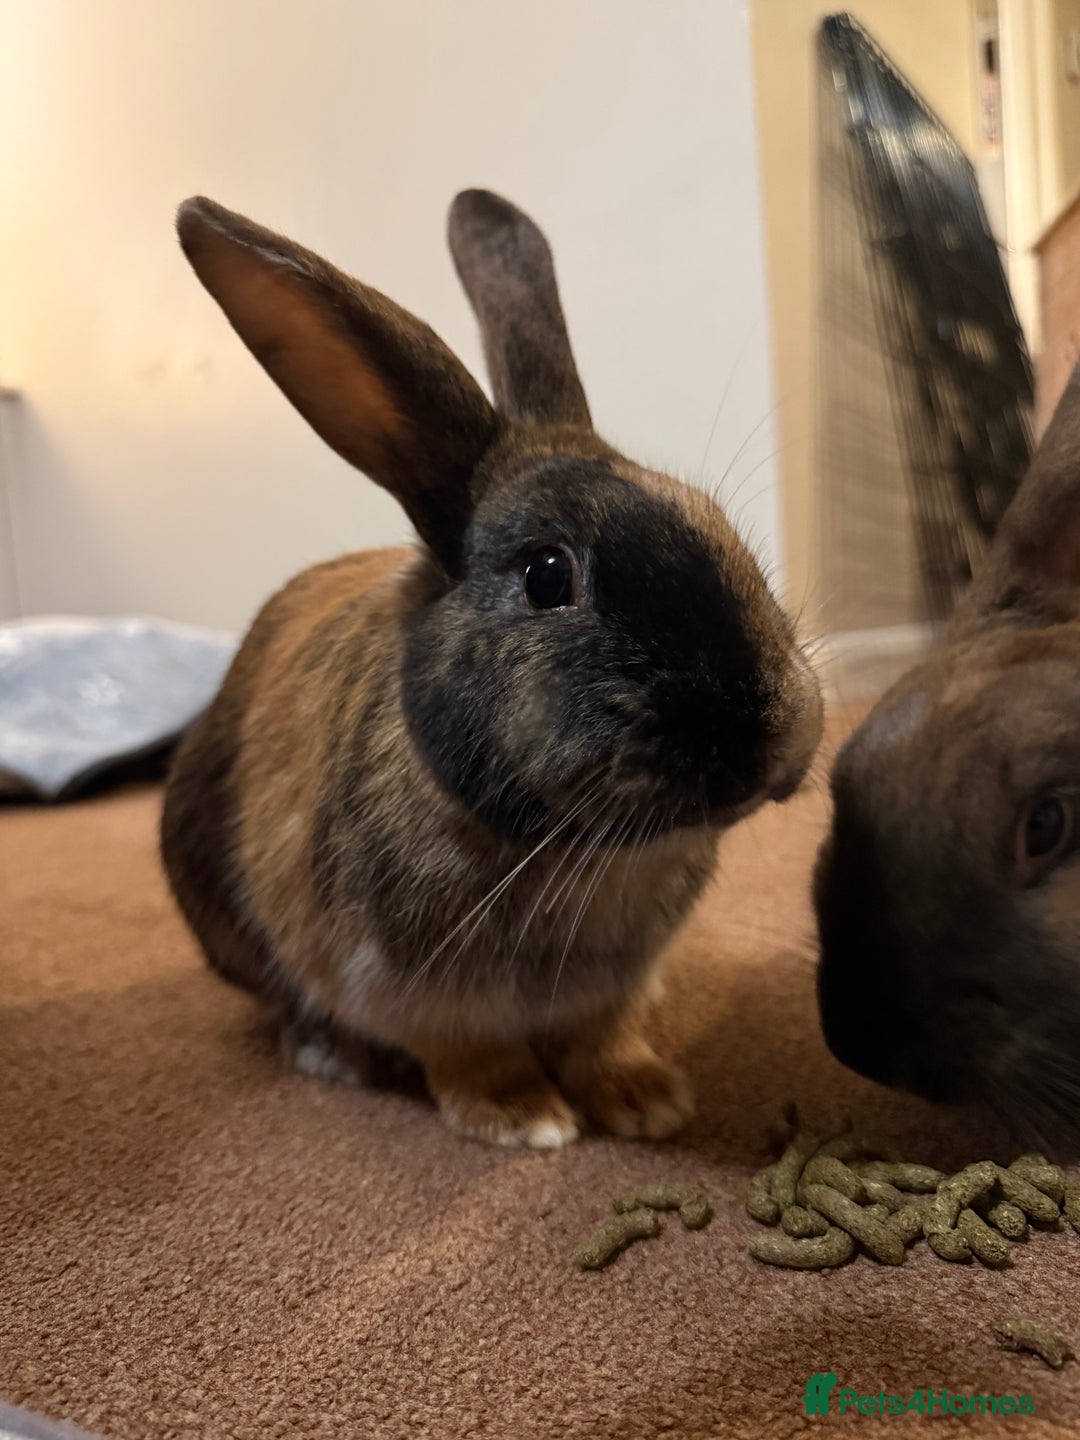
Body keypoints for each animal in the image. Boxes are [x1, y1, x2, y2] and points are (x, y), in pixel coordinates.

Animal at [161, 189, 823, 1148]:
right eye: (547, 575)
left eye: (711, 520)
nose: (766, 735)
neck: (579, 851)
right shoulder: (408, 989)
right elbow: (471, 1057)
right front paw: (524, 1119)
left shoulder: (605, 994)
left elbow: (601, 1039)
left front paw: (646, 1099)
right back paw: (333, 1056)